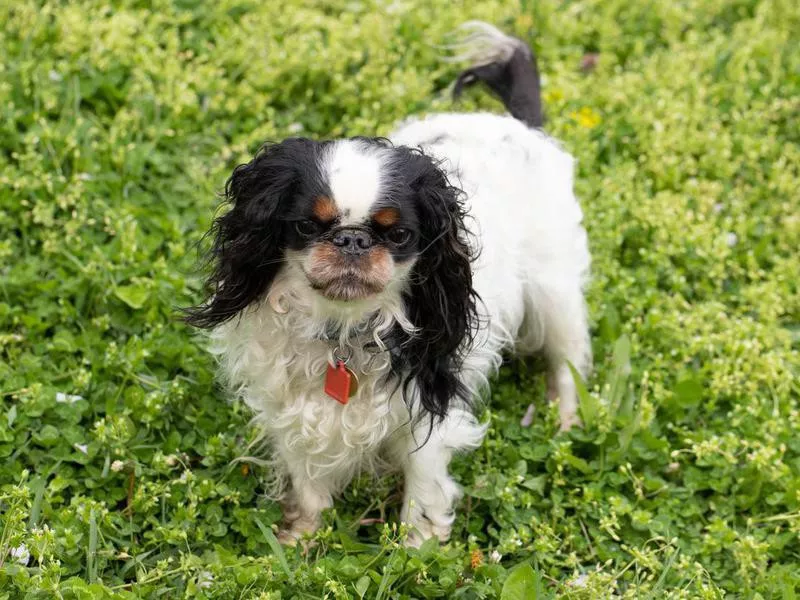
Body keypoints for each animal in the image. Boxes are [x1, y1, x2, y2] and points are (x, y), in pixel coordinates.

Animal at [186, 22, 588, 548]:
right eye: (307, 227)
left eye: (397, 235)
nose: (353, 239)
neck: (343, 330)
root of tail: (521, 127)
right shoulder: (292, 409)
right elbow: (307, 479)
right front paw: (302, 538)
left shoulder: (429, 402)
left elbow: (423, 483)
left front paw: (416, 547)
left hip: (554, 289)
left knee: (568, 356)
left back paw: (564, 417)